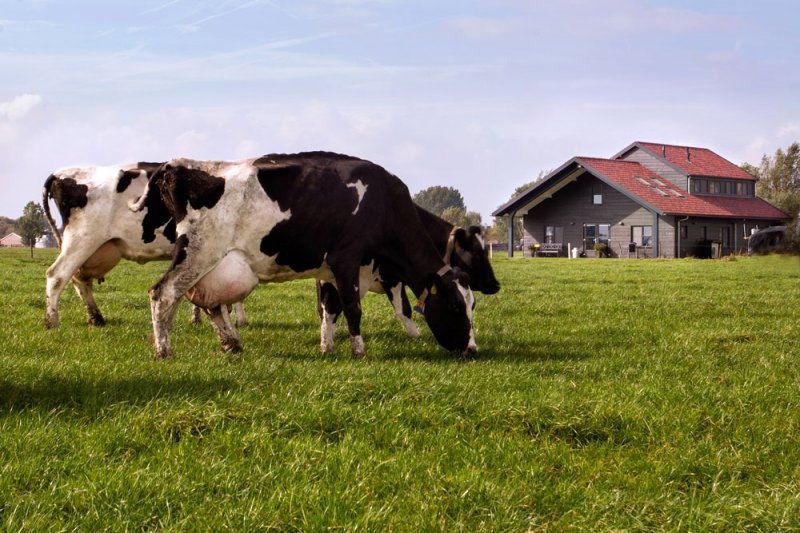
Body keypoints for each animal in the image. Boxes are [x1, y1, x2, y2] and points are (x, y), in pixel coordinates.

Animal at [40, 163, 245, 328]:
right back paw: (52, 322)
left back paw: (96, 318)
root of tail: (59, 173)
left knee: (79, 279)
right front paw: (239, 320)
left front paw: (198, 319)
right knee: (57, 275)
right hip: (82, 239)